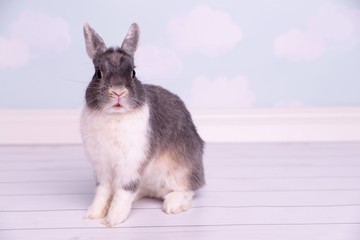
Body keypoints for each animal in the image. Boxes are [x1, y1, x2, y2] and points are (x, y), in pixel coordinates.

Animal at [81, 23, 205, 227]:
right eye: (98, 73)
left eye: (133, 73)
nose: (118, 92)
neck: (115, 116)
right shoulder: (101, 167)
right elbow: (102, 191)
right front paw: (93, 214)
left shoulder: (131, 165)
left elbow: (124, 191)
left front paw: (113, 219)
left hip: (182, 169)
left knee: (189, 190)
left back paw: (172, 204)